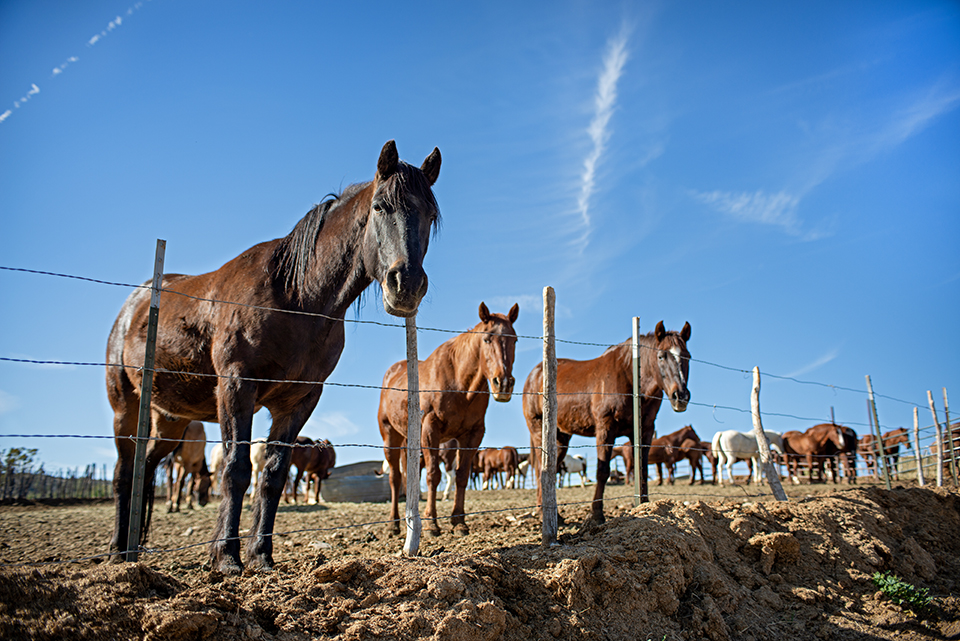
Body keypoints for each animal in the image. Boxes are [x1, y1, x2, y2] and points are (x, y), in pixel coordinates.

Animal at [106, 140, 442, 573]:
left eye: (430, 215)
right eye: (381, 206)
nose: (407, 285)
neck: (295, 296)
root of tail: (135, 302)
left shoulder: (299, 400)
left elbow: (274, 474)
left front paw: (261, 555)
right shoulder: (237, 387)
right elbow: (236, 470)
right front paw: (227, 557)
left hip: (169, 421)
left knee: (143, 470)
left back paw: (133, 550)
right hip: (126, 407)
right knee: (123, 473)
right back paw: (117, 551)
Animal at [379, 302, 519, 537]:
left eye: (515, 340)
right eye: (487, 339)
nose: (504, 383)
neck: (459, 383)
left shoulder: (472, 435)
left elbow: (461, 475)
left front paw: (459, 521)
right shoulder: (430, 430)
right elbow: (433, 475)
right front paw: (431, 523)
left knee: (408, 474)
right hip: (390, 436)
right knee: (395, 478)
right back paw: (393, 524)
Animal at [524, 321, 691, 523]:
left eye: (687, 356)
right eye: (661, 356)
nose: (681, 396)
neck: (630, 377)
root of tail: (534, 375)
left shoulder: (645, 431)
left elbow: (642, 468)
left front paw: (645, 506)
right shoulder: (605, 429)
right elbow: (603, 471)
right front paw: (597, 513)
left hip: (561, 438)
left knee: (552, 469)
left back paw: (552, 514)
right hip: (539, 431)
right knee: (542, 469)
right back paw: (545, 513)